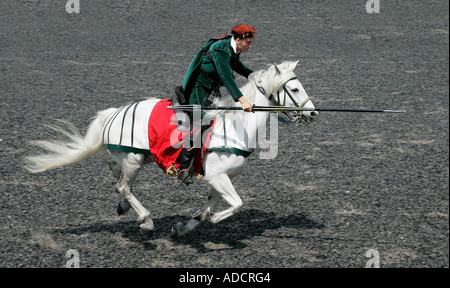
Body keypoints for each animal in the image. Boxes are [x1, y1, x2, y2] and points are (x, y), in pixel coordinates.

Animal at [24, 60, 318, 238]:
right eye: (293, 88)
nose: (313, 113)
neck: (236, 125)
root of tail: (113, 113)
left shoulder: (218, 179)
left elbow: (210, 209)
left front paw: (184, 226)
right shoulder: (217, 177)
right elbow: (235, 205)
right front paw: (209, 219)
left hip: (140, 158)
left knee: (116, 174)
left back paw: (124, 207)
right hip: (134, 159)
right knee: (123, 186)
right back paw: (146, 222)